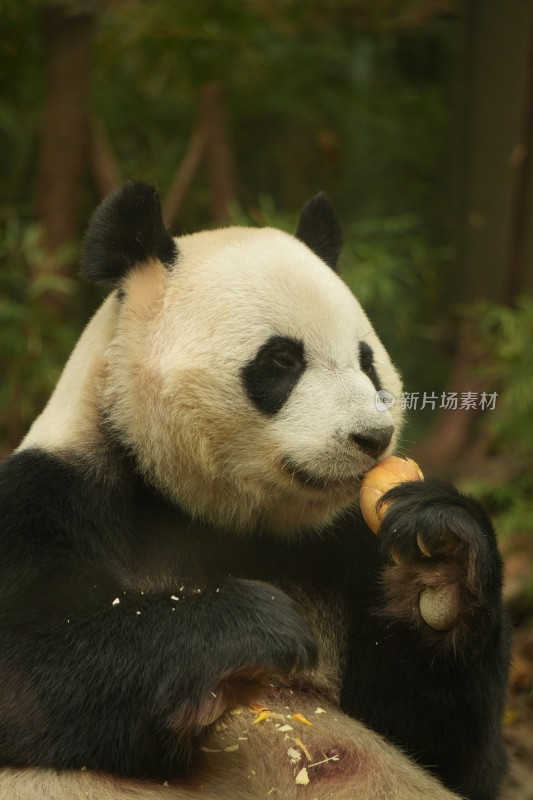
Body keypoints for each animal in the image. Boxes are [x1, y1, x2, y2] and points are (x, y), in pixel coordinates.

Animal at [0, 183, 510, 800]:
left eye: (367, 361)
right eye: (282, 360)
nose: (373, 438)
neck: (221, 514)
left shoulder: (348, 539)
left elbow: (444, 748)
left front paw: (443, 558)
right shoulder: (54, 496)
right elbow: (28, 660)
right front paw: (254, 629)